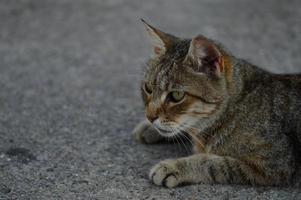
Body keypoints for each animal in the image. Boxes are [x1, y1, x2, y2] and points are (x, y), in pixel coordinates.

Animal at [133, 19, 300, 188]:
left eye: (176, 95)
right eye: (148, 89)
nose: (150, 117)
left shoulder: (274, 164)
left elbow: (212, 163)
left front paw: (174, 166)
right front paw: (149, 127)